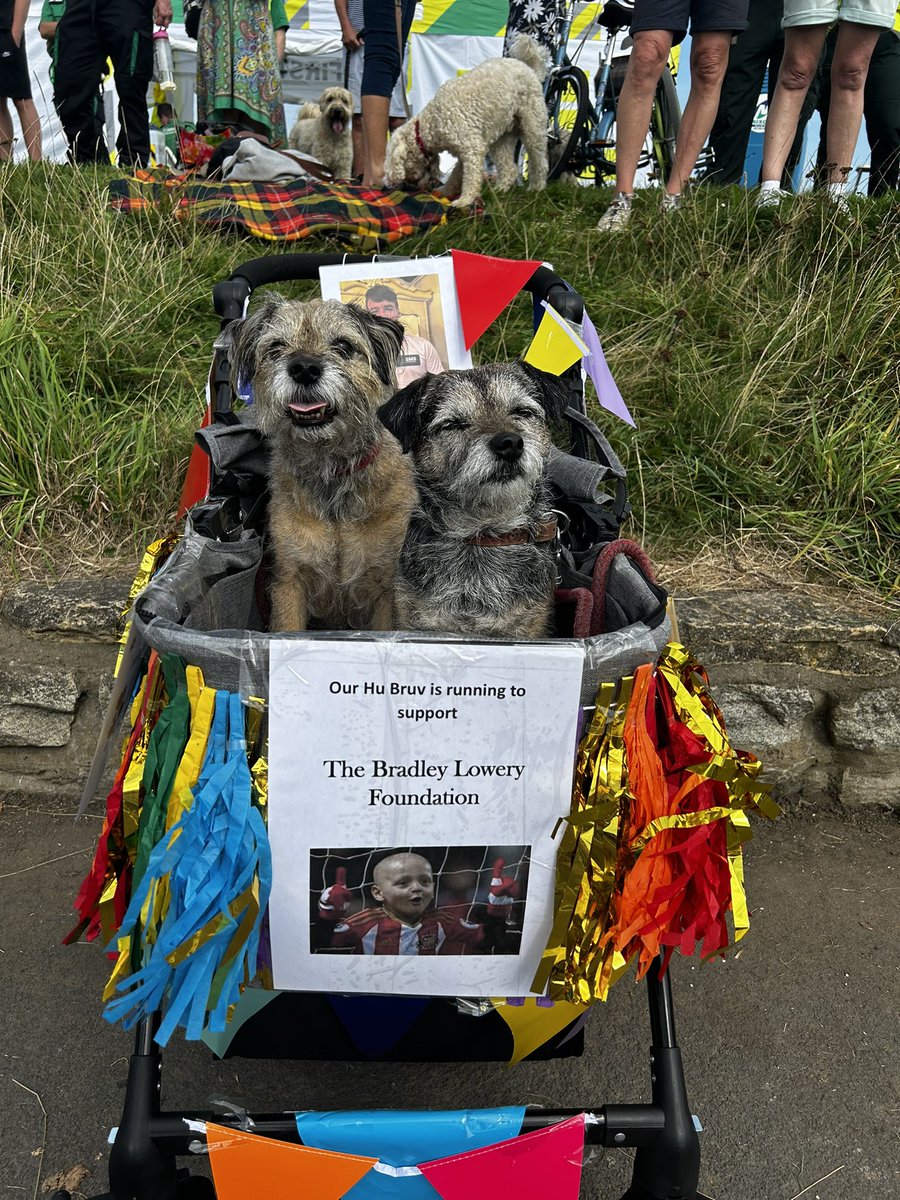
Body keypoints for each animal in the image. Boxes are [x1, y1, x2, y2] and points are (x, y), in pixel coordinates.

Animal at [230, 294, 417, 633]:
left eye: (343, 345)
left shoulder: (387, 589)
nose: (304, 367)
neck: (331, 468)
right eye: (276, 347)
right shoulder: (289, 582)